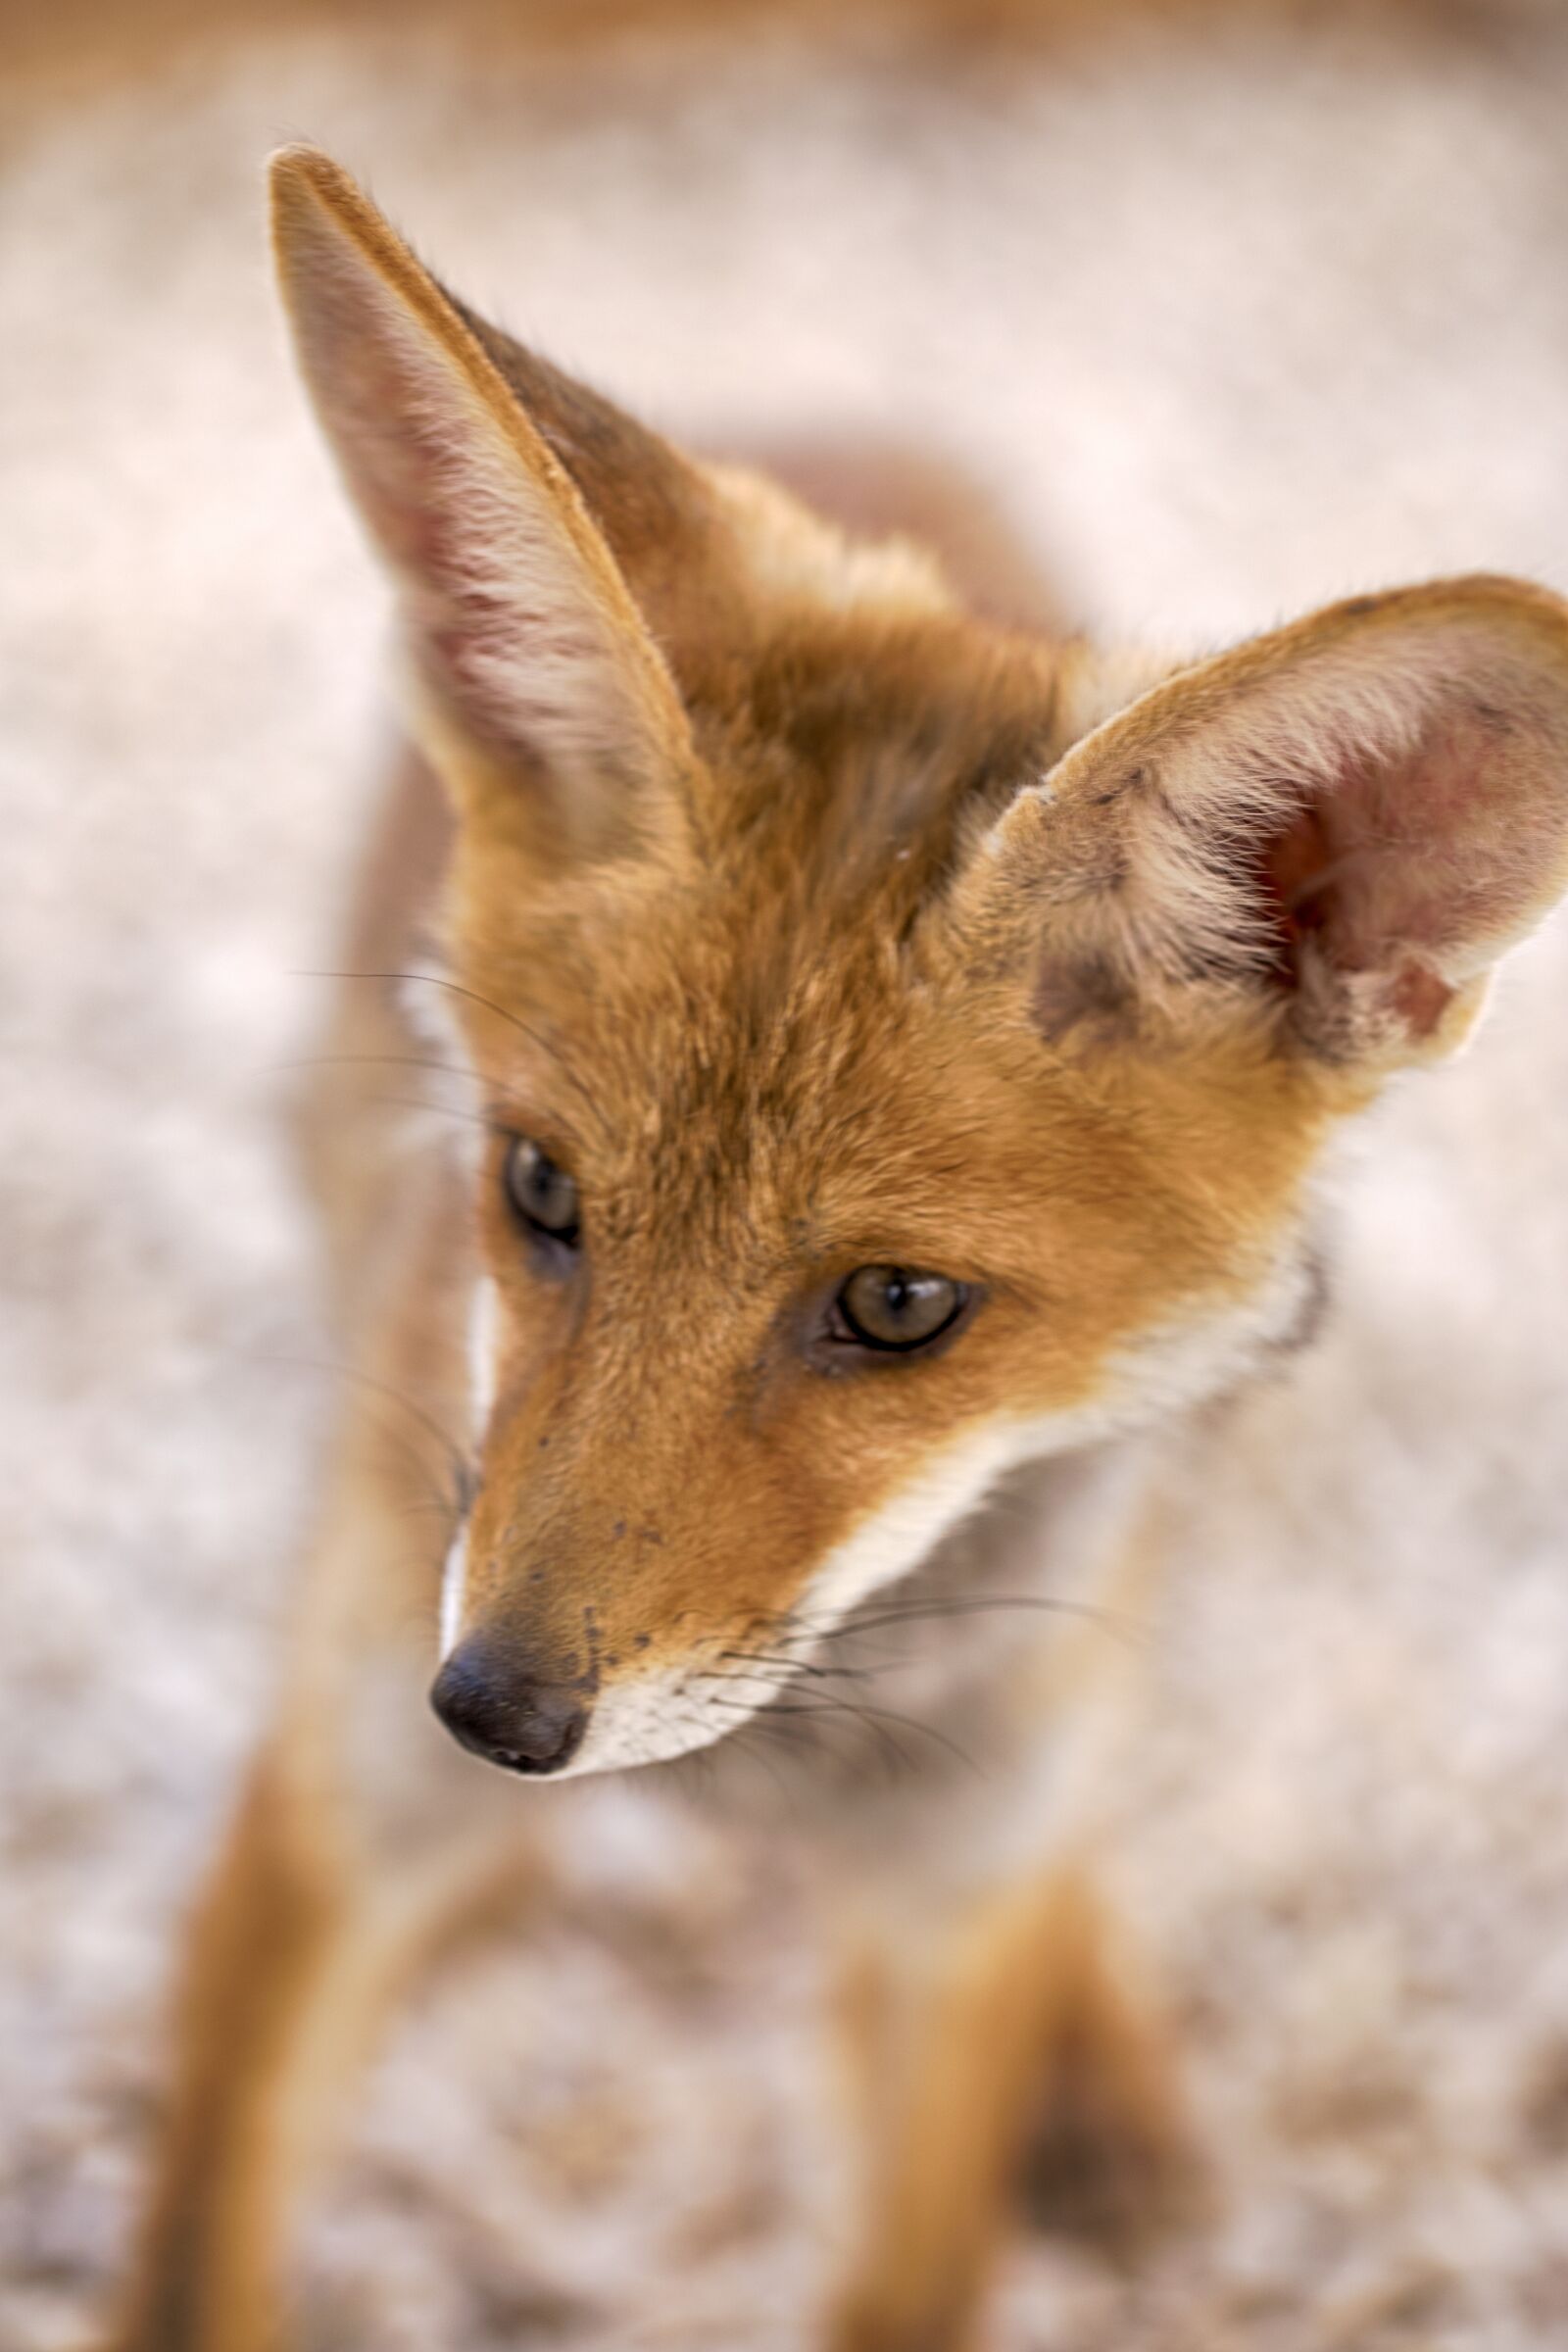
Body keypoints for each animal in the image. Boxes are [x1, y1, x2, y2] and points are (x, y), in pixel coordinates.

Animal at [103, 142, 1568, 2352]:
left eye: (895, 1305)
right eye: (539, 1191)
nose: (493, 1719)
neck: (764, 1771)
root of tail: (837, 402)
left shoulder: (944, 1920)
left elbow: (922, 2243)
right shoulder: (333, 1815)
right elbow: (204, 2257)